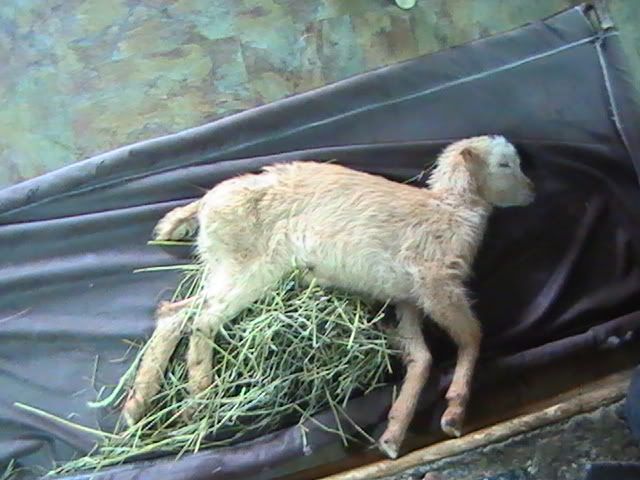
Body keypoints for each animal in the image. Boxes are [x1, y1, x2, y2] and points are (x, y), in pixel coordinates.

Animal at [122, 135, 535, 459]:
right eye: (505, 164)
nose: (531, 192)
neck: (450, 209)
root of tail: (205, 203)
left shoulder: (407, 298)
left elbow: (420, 358)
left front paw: (394, 433)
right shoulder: (435, 283)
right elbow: (471, 337)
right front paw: (455, 410)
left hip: (225, 266)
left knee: (175, 313)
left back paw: (137, 404)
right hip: (252, 268)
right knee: (204, 319)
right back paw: (199, 395)